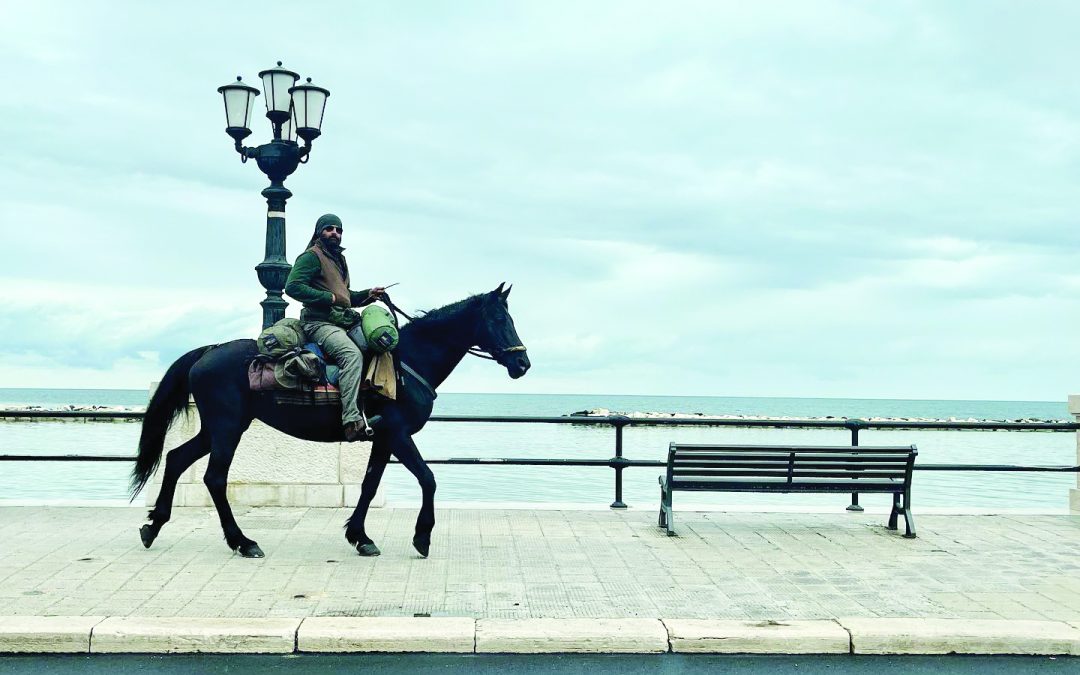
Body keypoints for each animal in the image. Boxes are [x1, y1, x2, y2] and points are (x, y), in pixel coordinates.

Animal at [130, 280, 527, 557]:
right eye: (497, 318)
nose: (522, 363)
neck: (408, 360)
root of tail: (209, 351)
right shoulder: (399, 434)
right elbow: (428, 479)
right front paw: (422, 535)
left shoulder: (384, 438)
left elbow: (369, 485)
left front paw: (359, 536)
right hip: (227, 428)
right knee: (214, 478)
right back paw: (243, 541)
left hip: (218, 427)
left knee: (176, 458)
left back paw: (154, 526)